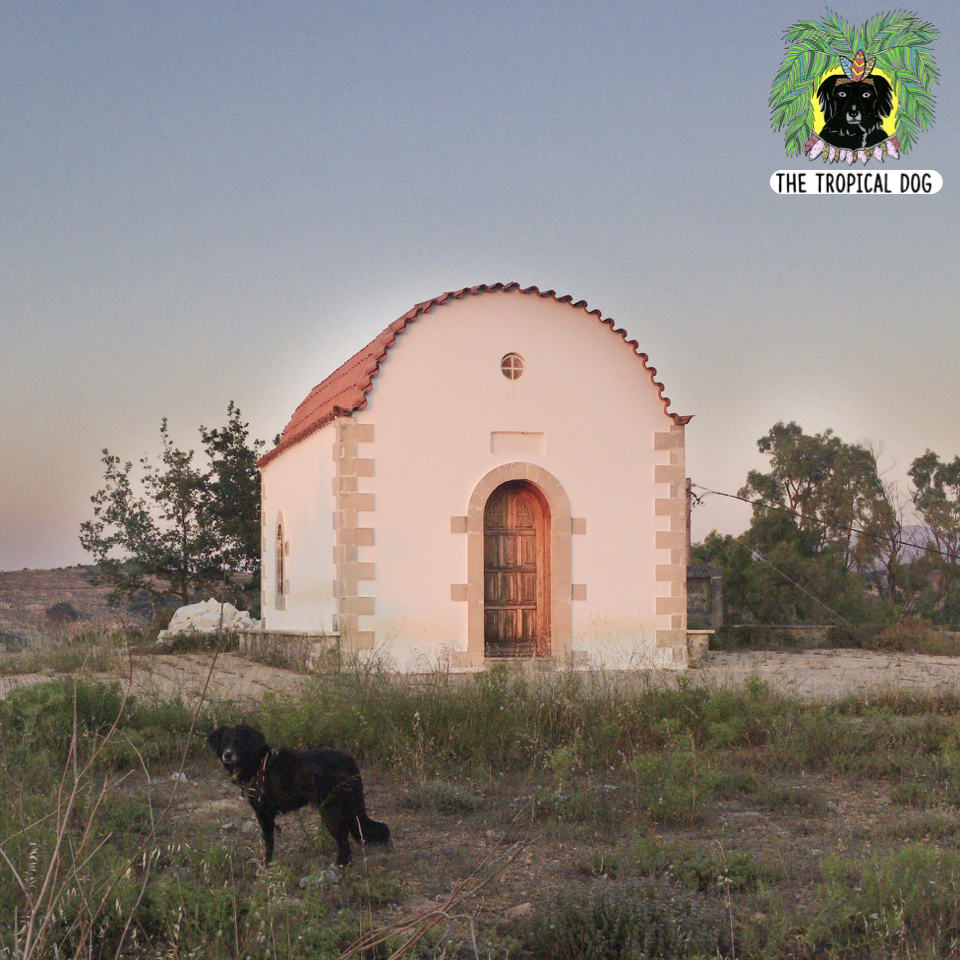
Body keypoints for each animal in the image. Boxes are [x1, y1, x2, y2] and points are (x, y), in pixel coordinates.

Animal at [209, 724, 390, 868]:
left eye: (238, 741)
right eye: (224, 742)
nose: (227, 754)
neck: (256, 761)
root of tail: (349, 761)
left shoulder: (264, 812)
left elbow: (268, 842)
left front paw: (267, 864)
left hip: (331, 811)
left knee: (343, 841)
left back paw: (338, 865)